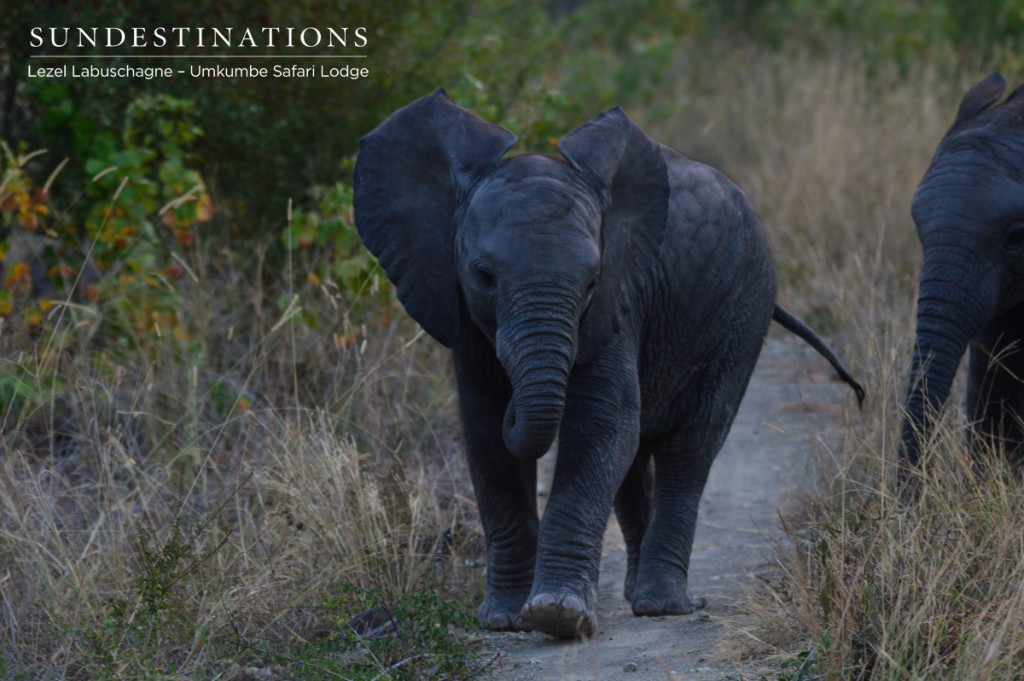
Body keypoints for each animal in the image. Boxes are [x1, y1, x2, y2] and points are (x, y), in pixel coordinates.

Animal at [352, 90, 864, 639]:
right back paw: (635, 594)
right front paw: (504, 620)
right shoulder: (463, 317)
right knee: (636, 462)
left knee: (691, 447)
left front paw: (557, 615)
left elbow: (600, 423)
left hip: (743, 310)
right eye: (483, 275)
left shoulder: (621, 299)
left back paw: (661, 604)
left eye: (592, 281)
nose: (517, 400)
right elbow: (486, 437)